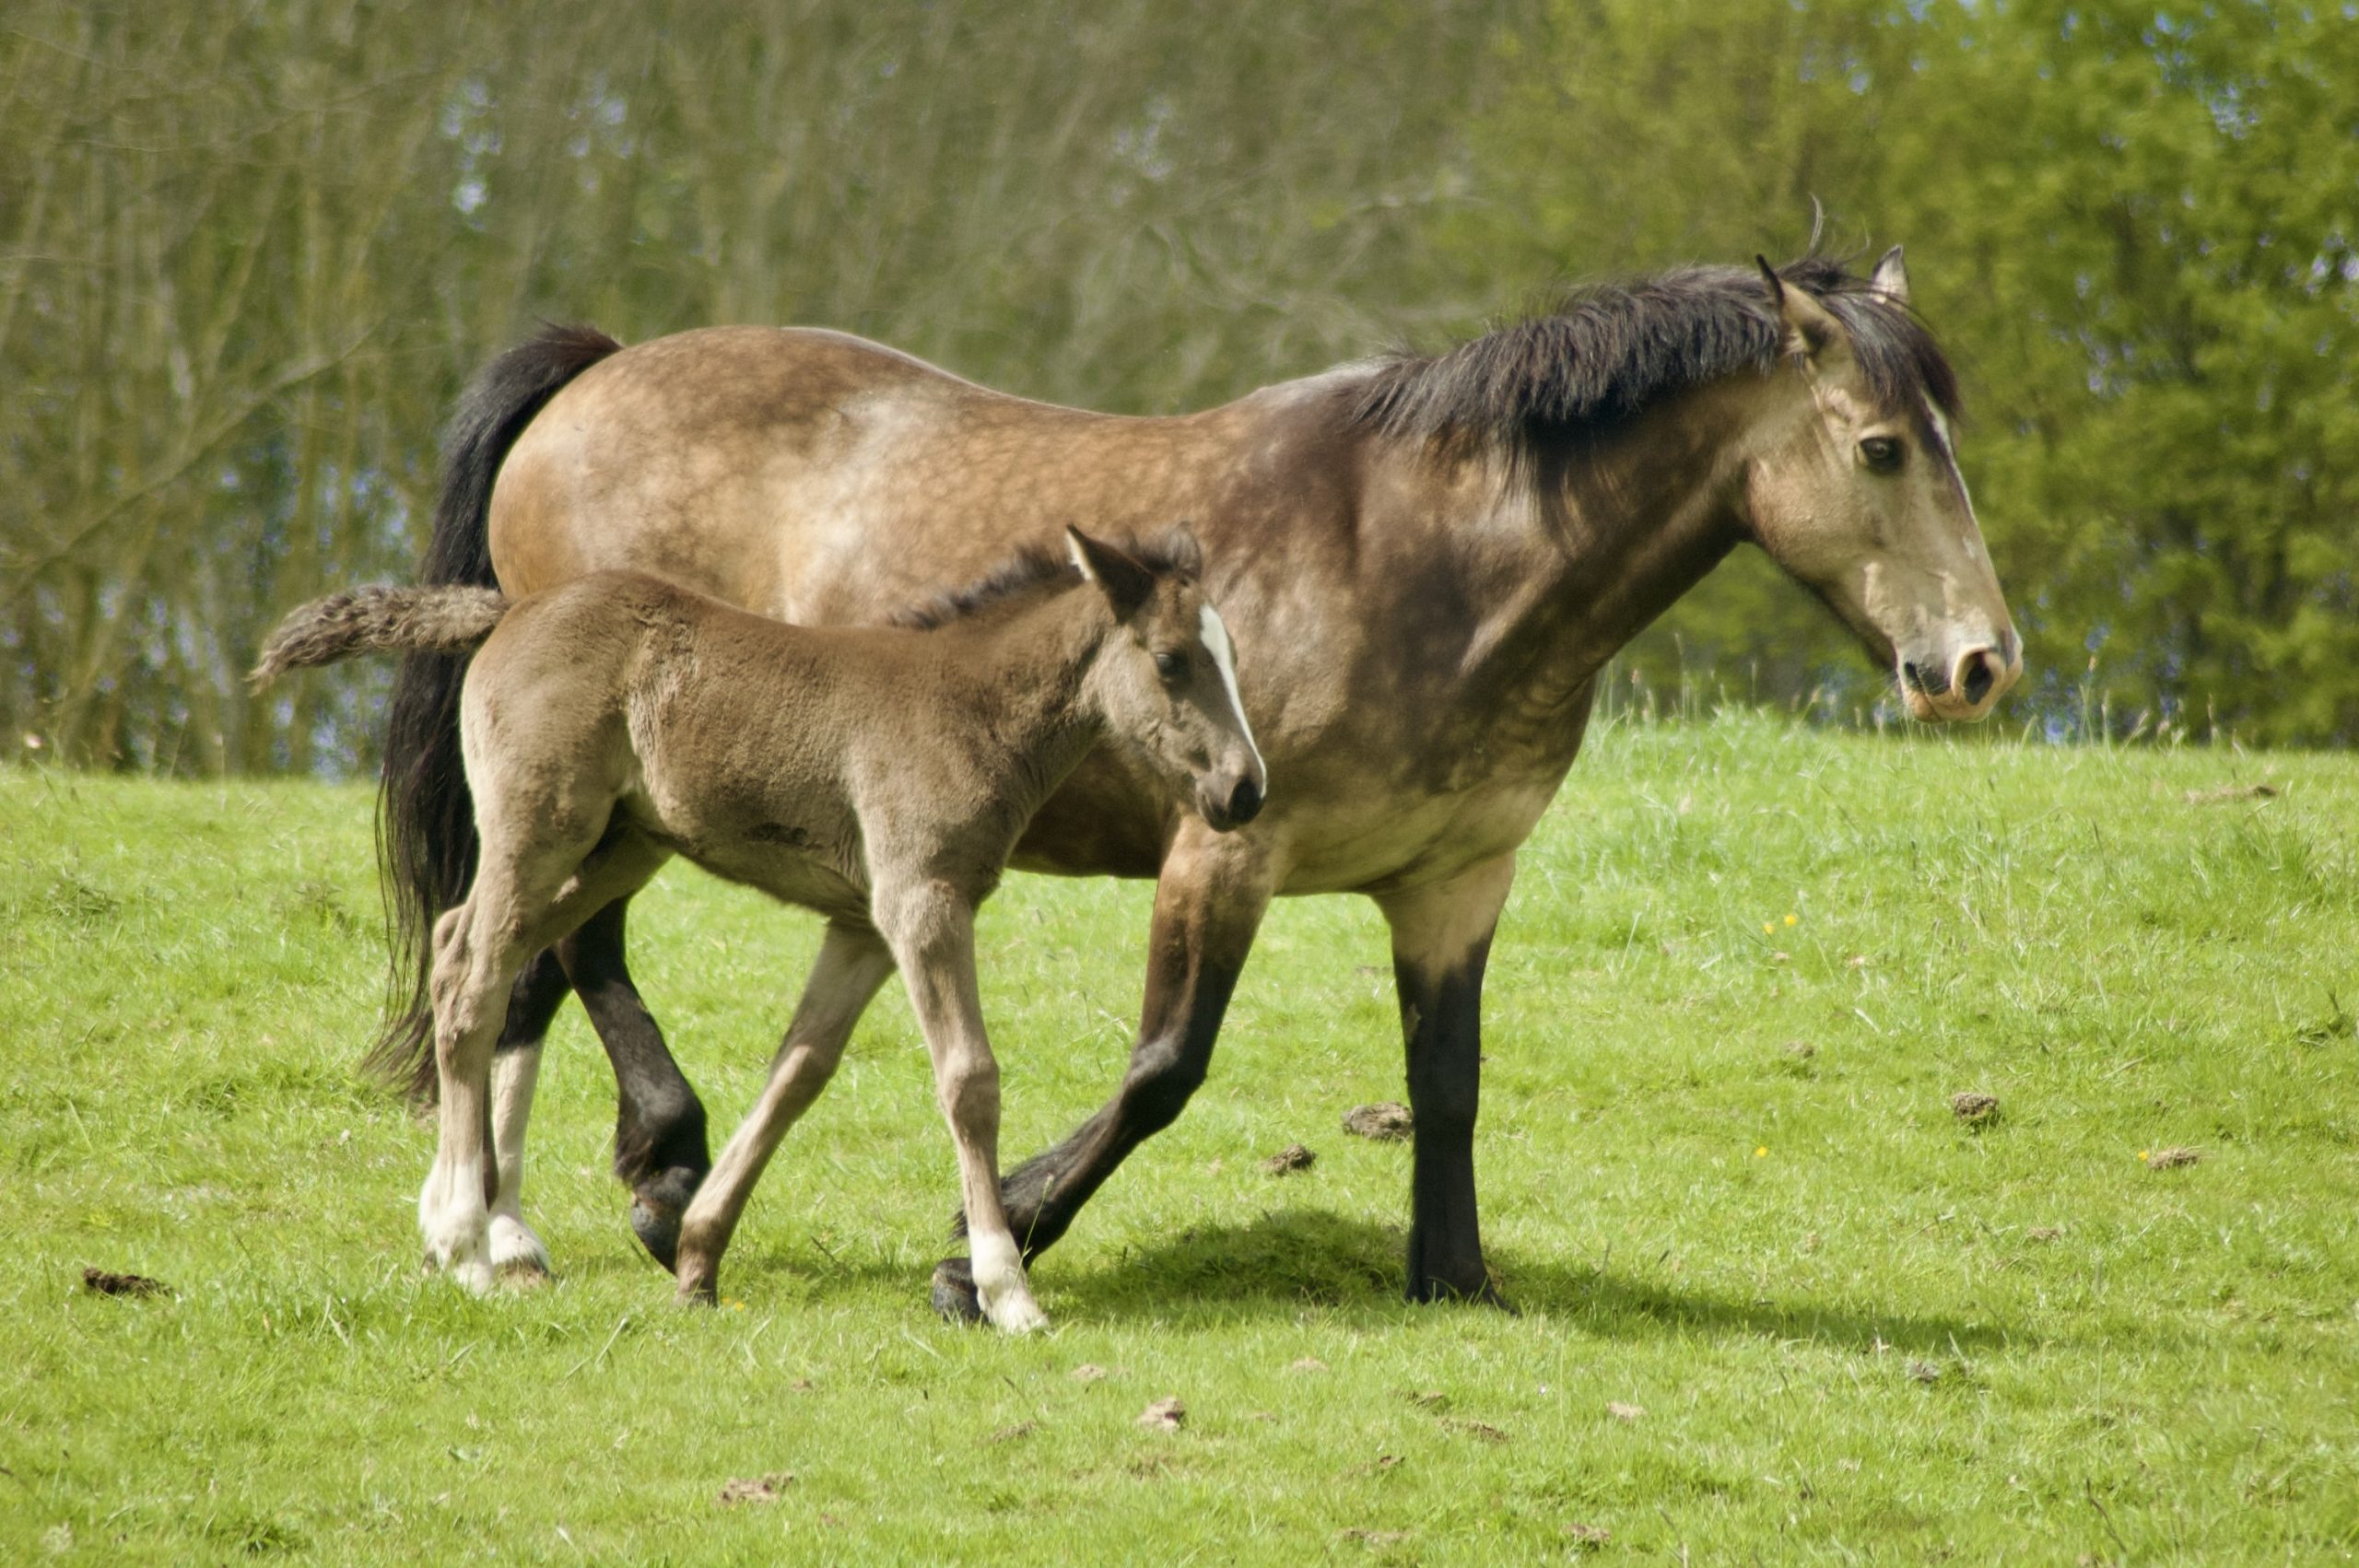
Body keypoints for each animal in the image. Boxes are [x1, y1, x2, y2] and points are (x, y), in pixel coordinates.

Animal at [258, 529, 1263, 1330]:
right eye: (1171, 660)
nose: (1245, 789)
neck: (967, 709)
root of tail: (512, 610)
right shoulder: (923, 901)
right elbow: (968, 1080)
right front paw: (1006, 1291)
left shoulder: (860, 926)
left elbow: (797, 1074)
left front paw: (698, 1259)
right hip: (542, 826)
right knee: (474, 974)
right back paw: (468, 1241)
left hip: (622, 845)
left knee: (466, 948)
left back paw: (450, 1223)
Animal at [375, 248, 2021, 1318]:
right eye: (1882, 448)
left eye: (1951, 438)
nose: (1980, 662)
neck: (1435, 561)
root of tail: (594, 374)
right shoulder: (1225, 849)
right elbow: (1165, 1067)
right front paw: (988, 1247)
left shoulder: (1454, 882)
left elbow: (1450, 1079)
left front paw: (1455, 1278)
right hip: (605, 794)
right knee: (555, 948)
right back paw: (628, 1183)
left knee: (524, 963)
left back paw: (512, 1221)